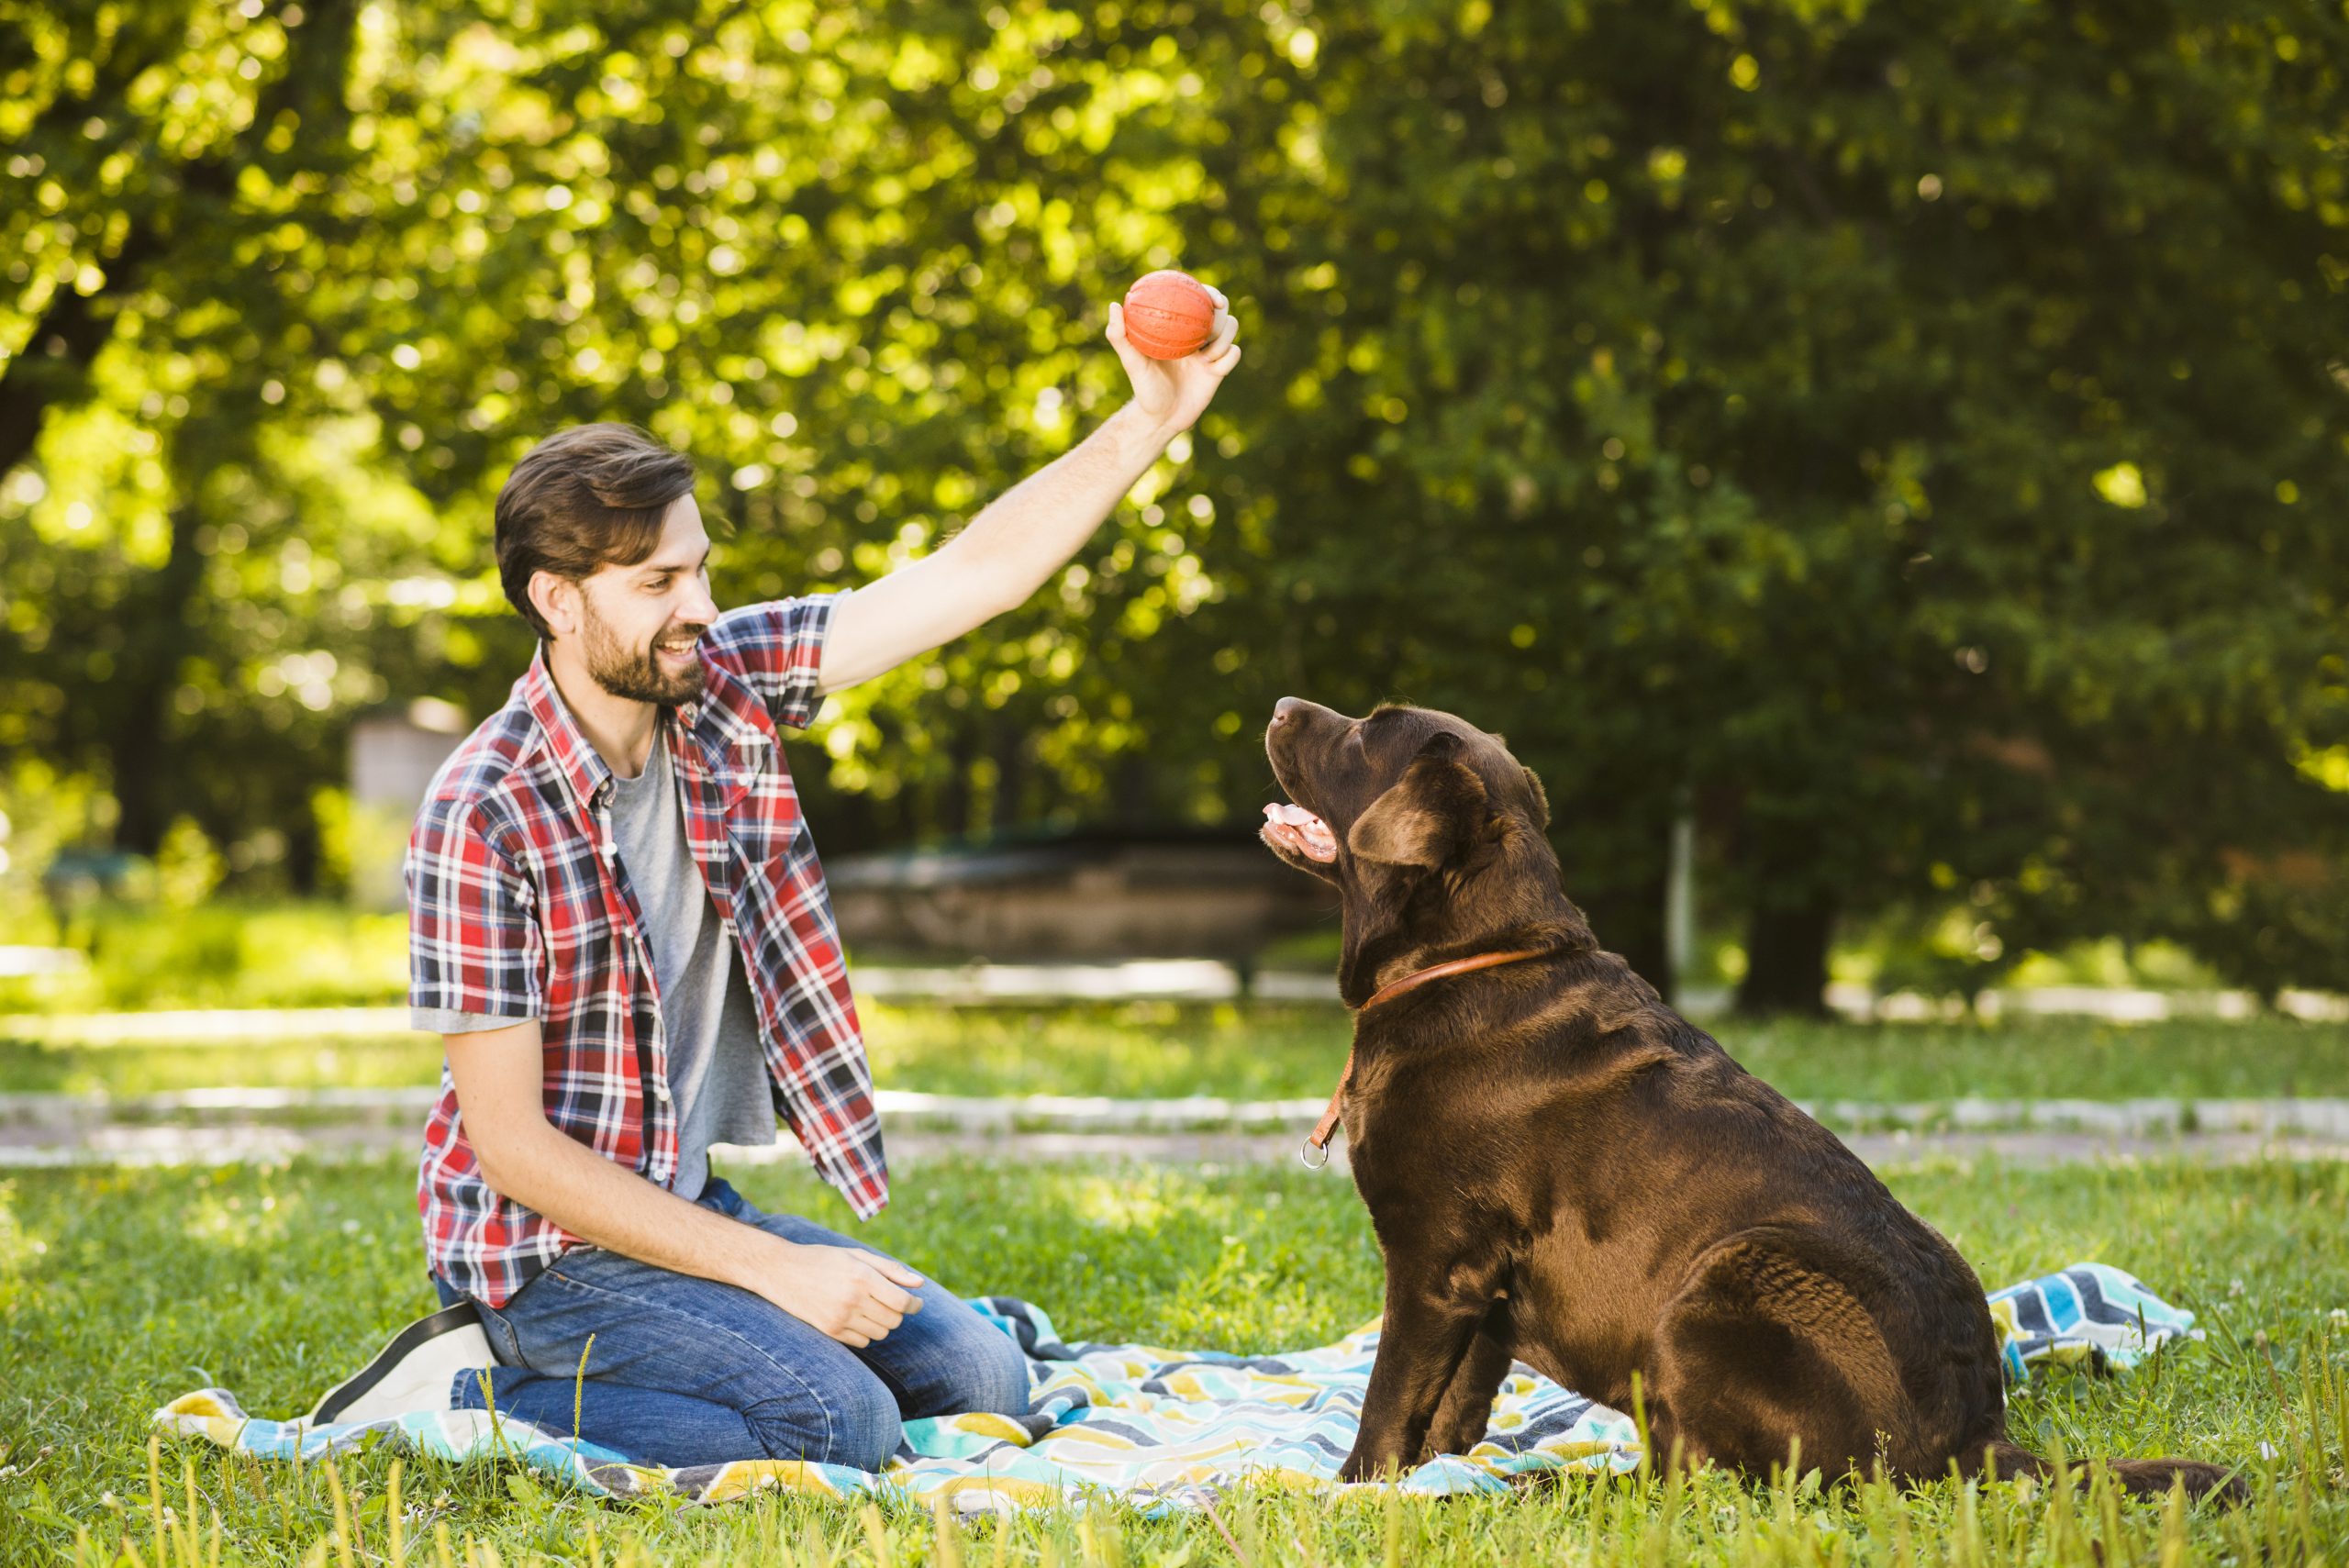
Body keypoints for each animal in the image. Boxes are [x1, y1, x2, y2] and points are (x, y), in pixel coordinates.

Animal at [1268, 699, 2236, 1493]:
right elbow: (1454, 1400)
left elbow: (1391, 1395)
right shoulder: (1484, 1284)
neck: (1469, 956)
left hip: (1724, 1282)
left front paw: (1352, 1491)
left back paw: (1556, 1487)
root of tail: (1977, 1434)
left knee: (1697, 1481)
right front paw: (1438, 1473)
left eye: (1366, 732)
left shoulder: (1433, 1263)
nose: (1279, 704)